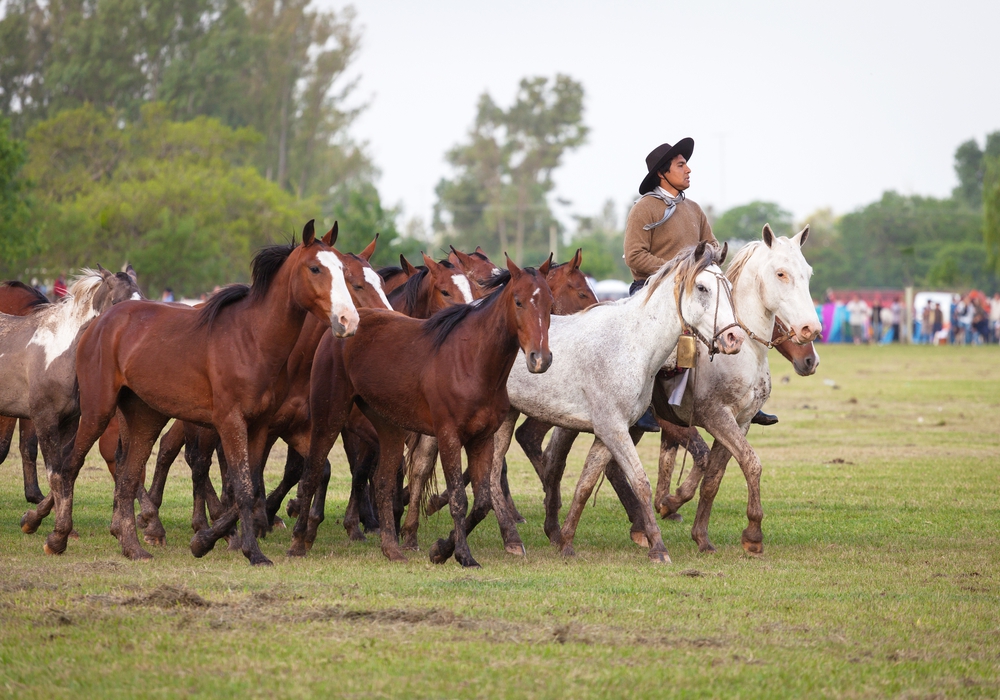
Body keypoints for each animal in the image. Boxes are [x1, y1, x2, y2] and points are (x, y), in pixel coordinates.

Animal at [53, 221, 360, 568]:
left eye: (343, 270)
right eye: (315, 268)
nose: (348, 320)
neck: (251, 339)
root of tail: (99, 323)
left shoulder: (260, 426)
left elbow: (252, 488)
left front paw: (205, 541)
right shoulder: (230, 423)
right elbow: (242, 487)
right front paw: (251, 551)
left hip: (145, 418)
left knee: (128, 476)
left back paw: (133, 546)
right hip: (98, 410)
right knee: (70, 465)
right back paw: (59, 536)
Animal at [290, 258, 556, 568]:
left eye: (549, 303)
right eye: (518, 301)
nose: (540, 358)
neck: (471, 360)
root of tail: (342, 330)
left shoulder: (482, 439)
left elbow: (482, 502)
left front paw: (441, 548)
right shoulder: (449, 436)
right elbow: (458, 499)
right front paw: (463, 555)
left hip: (388, 427)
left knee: (381, 482)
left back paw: (391, 549)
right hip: (329, 415)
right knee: (313, 471)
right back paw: (299, 541)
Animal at [480, 241, 748, 564]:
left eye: (729, 287)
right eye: (702, 287)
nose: (734, 338)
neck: (632, 344)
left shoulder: (605, 434)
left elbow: (585, 484)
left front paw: (566, 541)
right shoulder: (614, 429)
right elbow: (640, 483)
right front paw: (658, 547)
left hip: (507, 417)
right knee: (492, 474)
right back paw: (510, 537)